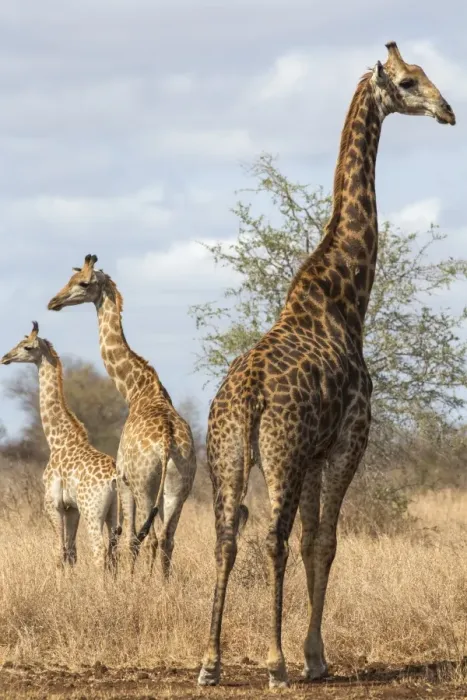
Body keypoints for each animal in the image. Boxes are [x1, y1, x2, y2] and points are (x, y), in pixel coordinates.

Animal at [0, 321, 124, 571]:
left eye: (27, 347)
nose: (5, 357)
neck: (58, 440)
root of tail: (114, 480)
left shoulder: (53, 504)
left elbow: (59, 553)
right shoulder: (71, 507)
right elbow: (71, 553)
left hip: (92, 511)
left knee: (99, 553)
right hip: (114, 512)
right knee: (113, 554)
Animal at [47, 256, 197, 578]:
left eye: (83, 283)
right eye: (71, 278)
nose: (54, 301)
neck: (136, 390)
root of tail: (167, 442)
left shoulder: (124, 479)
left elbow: (129, 537)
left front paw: (128, 581)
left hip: (144, 485)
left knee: (148, 537)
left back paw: (147, 583)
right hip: (180, 486)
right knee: (167, 538)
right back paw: (164, 585)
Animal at [197, 41, 455, 689]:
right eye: (409, 81)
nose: (447, 111)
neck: (344, 295)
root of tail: (247, 397)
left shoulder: (314, 454)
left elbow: (316, 536)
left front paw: (312, 653)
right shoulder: (347, 439)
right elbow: (326, 542)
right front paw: (313, 657)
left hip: (226, 454)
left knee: (225, 539)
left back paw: (210, 662)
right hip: (280, 452)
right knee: (274, 539)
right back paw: (274, 664)